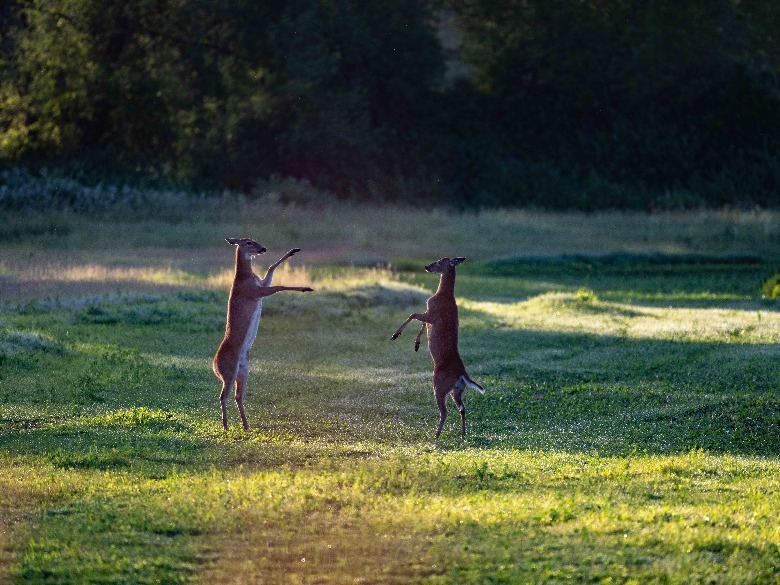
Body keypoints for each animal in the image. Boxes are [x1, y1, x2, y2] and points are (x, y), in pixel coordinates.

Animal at [213, 238, 313, 430]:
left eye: (254, 239)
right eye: (248, 242)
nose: (263, 248)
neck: (245, 277)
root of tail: (214, 366)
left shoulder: (262, 285)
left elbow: (271, 268)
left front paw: (294, 250)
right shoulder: (256, 291)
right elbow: (279, 285)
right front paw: (306, 288)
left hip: (243, 371)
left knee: (237, 396)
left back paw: (246, 426)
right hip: (229, 373)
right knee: (223, 396)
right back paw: (226, 426)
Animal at [391, 257, 484, 439]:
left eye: (440, 261)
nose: (427, 266)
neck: (443, 295)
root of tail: (463, 375)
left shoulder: (432, 314)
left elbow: (413, 315)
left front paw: (396, 335)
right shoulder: (429, 315)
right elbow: (420, 323)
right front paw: (416, 344)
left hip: (439, 385)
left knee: (445, 411)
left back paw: (436, 435)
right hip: (457, 390)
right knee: (462, 408)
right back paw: (462, 434)